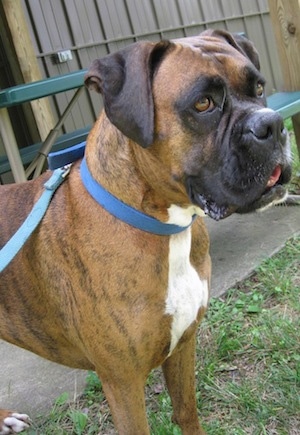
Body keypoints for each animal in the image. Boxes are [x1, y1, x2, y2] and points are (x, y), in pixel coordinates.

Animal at [0, 29, 290, 434]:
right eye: (203, 103)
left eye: (259, 88)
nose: (273, 124)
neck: (167, 225)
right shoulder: (123, 383)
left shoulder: (183, 345)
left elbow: (187, 412)